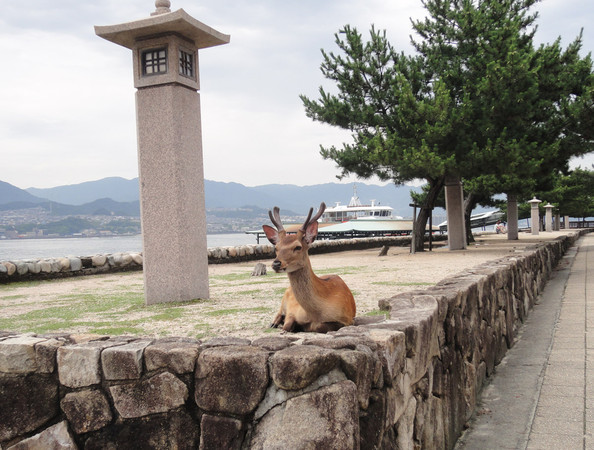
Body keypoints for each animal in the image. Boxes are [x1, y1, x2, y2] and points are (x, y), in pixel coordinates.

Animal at [262, 202, 354, 332]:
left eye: (298, 247)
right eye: (276, 247)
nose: (276, 264)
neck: (316, 314)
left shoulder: (348, 319)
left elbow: (320, 326)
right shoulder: (292, 310)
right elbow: (287, 326)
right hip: (284, 297)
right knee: (279, 313)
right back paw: (274, 323)